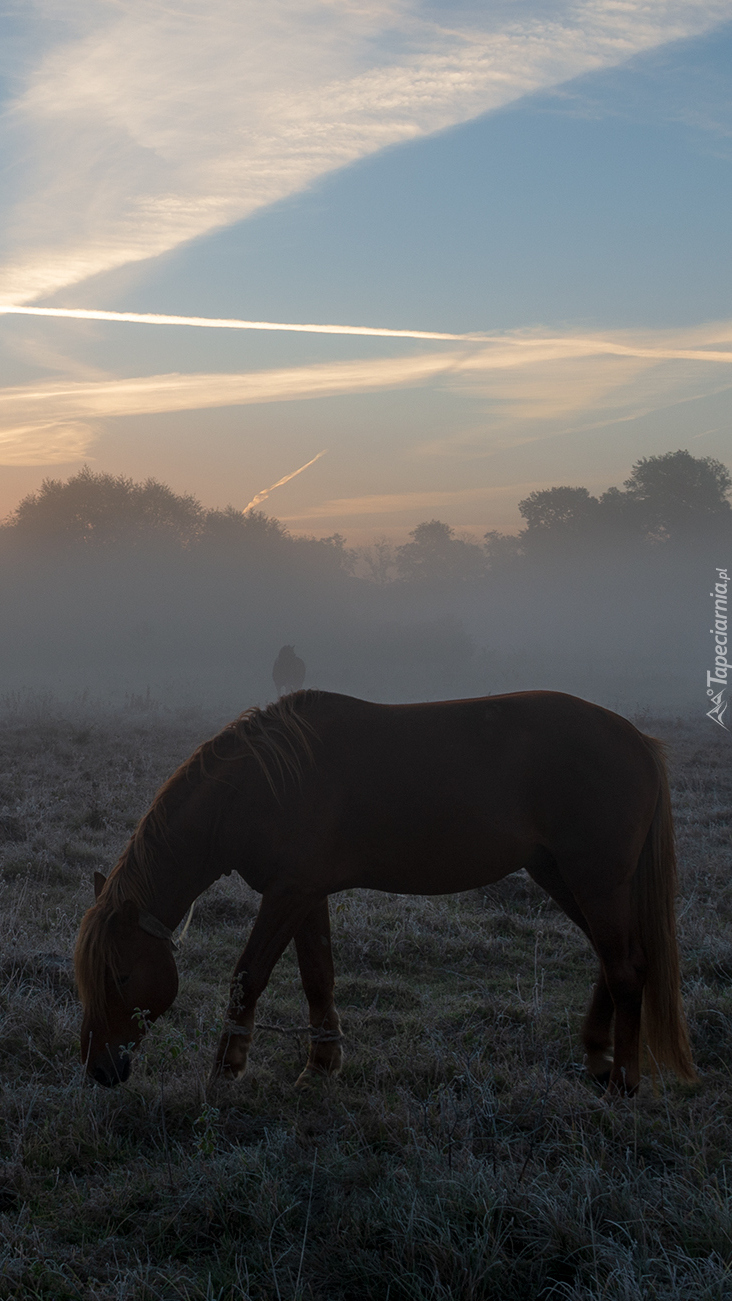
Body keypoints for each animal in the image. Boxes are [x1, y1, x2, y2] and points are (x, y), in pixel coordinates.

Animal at [76, 692, 696, 1098]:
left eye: (120, 976)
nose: (99, 1069)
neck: (263, 784)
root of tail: (638, 741)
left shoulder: (288, 894)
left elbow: (248, 976)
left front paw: (226, 1071)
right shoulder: (305, 894)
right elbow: (317, 976)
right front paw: (321, 1065)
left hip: (595, 881)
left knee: (626, 968)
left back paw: (624, 1080)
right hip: (563, 876)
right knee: (614, 960)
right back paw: (596, 1056)